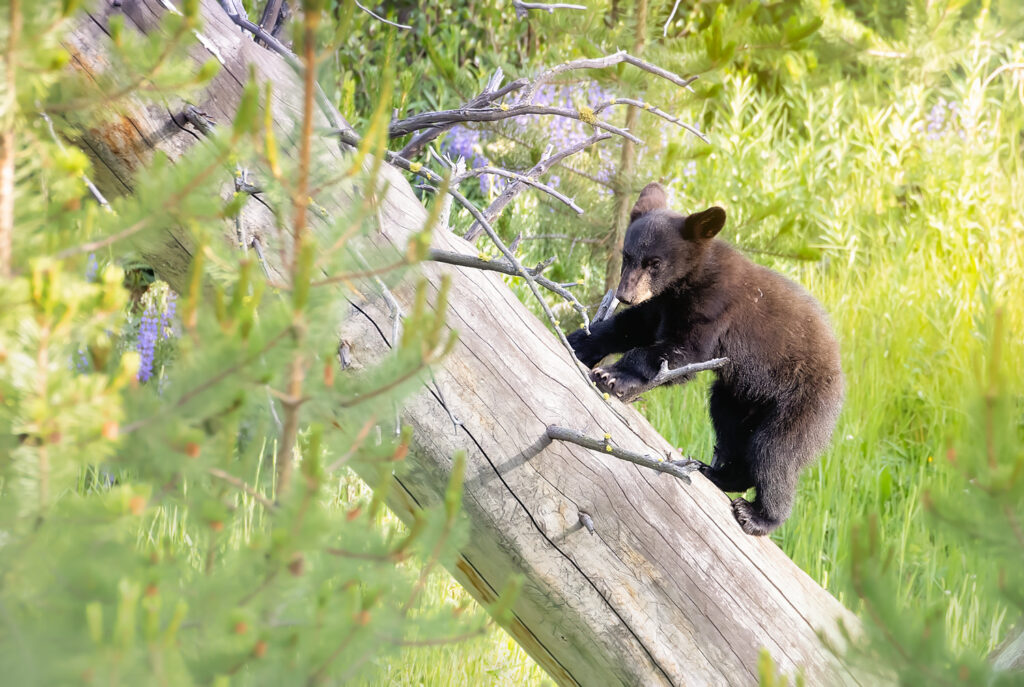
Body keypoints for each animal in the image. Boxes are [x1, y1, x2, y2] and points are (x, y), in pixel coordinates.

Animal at [567, 183, 844, 536]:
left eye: (655, 263)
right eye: (627, 257)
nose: (625, 294)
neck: (687, 282)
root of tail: (840, 379)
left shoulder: (713, 310)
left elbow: (679, 353)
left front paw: (614, 376)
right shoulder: (661, 305)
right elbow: (630, 326)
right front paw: (580, 340)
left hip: (799, 403)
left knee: (775, 452)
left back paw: (759, 515)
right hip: (740, 397)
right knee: (732, 429)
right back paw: (717, 473)